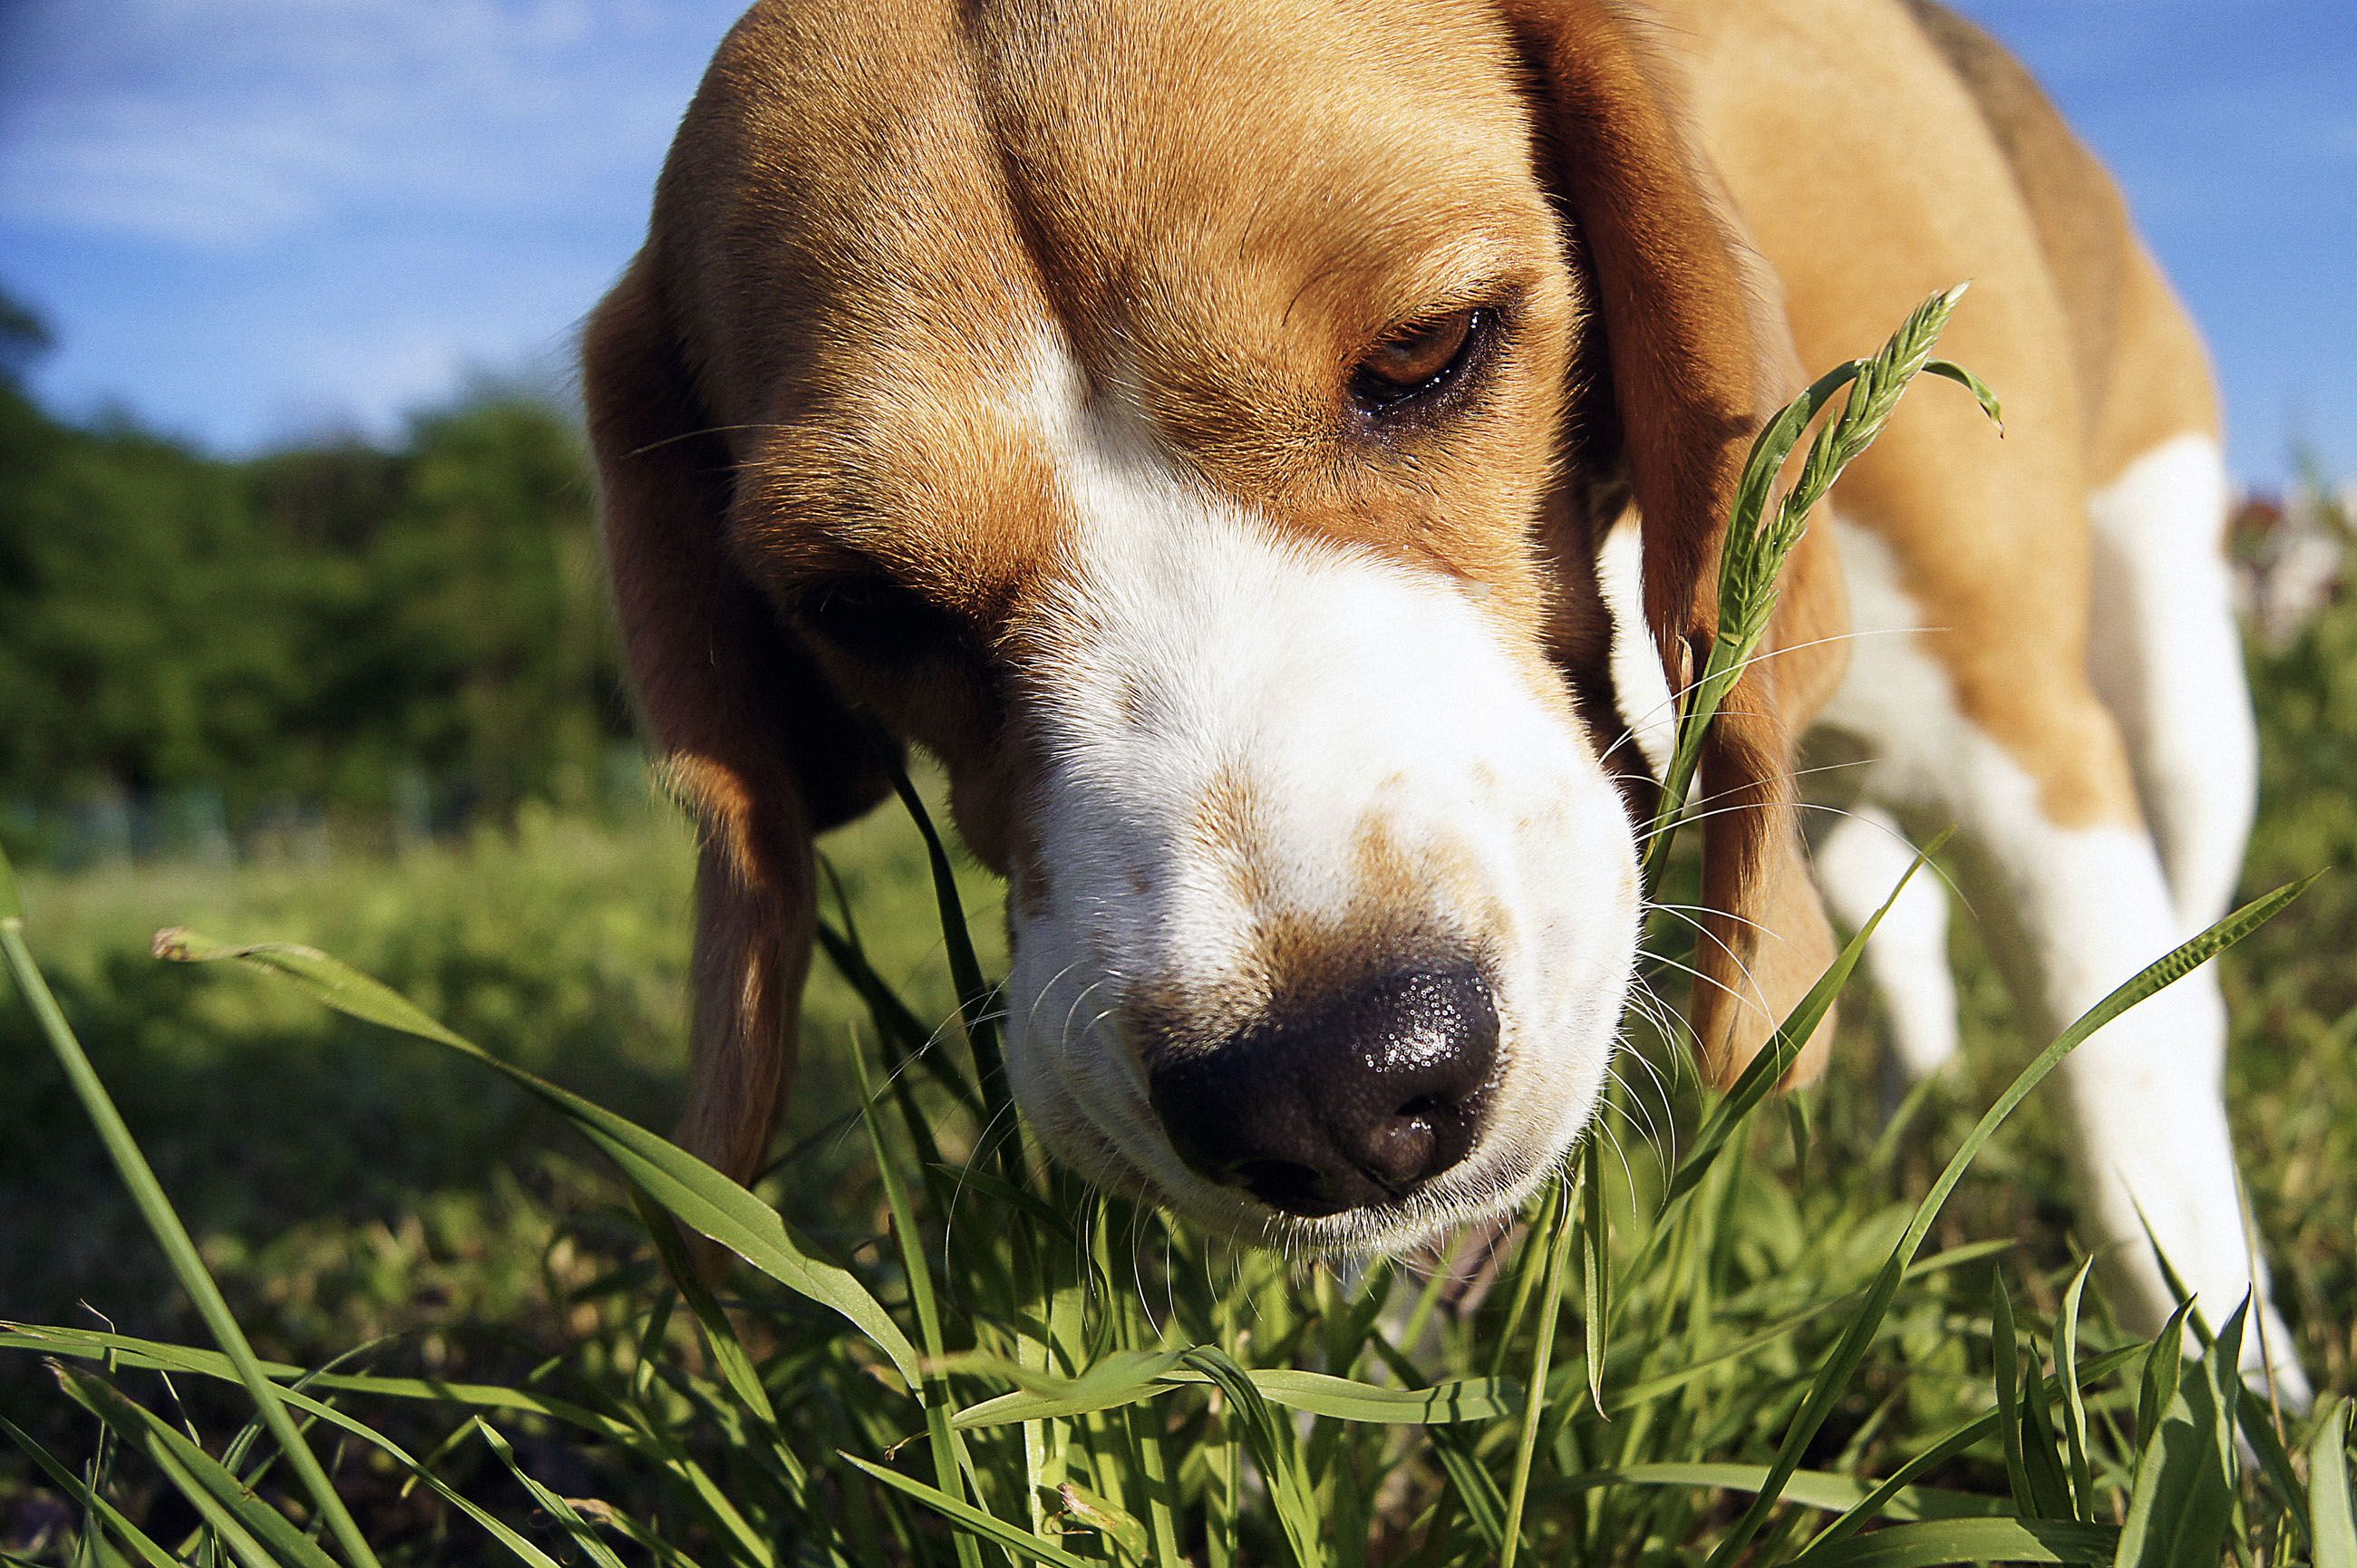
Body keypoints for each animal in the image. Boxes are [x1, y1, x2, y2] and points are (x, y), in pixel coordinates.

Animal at [584, 0, 2300, 1386]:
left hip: (2177, 677)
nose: (1323, 1093)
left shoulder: (2030, 744)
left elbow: (2133, 1093)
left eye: (1428, 350)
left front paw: (2233, 1426)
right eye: (859, 601)